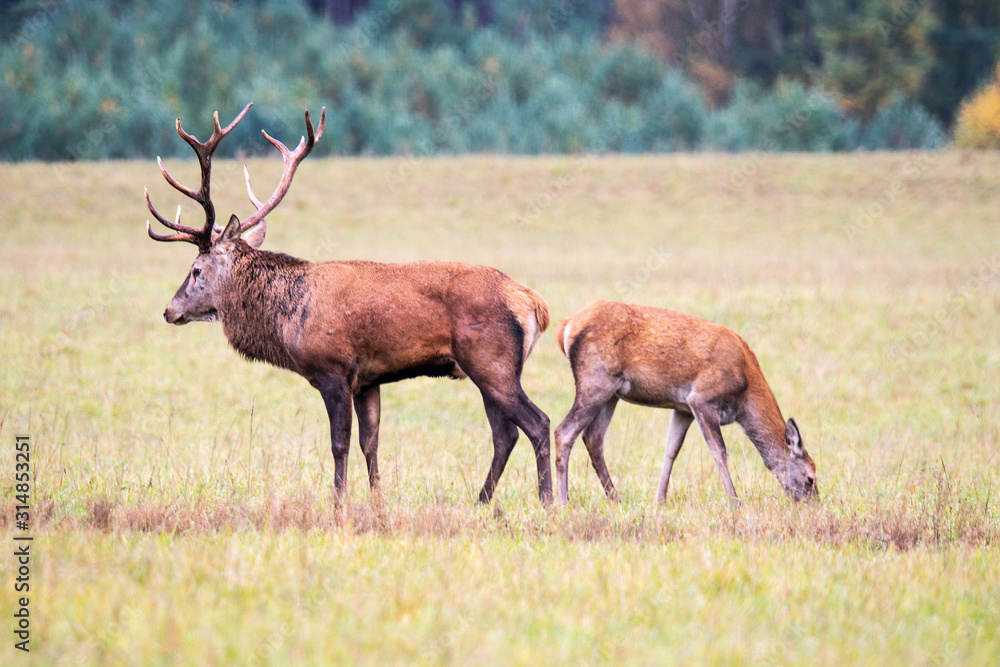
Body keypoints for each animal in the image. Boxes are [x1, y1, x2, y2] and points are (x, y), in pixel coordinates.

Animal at [145, 103, 553, 505]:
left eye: (196, 270)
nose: (169, 310)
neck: (291, 318)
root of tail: (534, 303)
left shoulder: (334, 370)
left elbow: (338, 444)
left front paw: (339, 502)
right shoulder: (368, 380)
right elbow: (370, 443)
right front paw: (377, 501)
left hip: (492, 362)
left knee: (538, 423)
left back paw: (548, 500)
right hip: (487, 369)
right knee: (505, 435)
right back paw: (483, 501)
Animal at [553, 300, 817, 505]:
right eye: (810, 477)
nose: (812, 503)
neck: (746, 392)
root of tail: (565, 326)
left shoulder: (683, 408)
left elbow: (671, 450)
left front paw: (659, 500)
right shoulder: (701, 399)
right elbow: (719, 452)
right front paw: (735, 501)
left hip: (611, 393)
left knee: (593, 438)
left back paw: (615, 498)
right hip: (596, 381)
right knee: (564, 432)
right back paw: (564, 501)